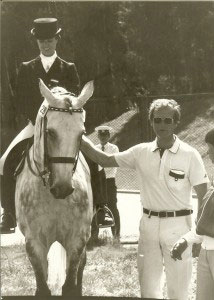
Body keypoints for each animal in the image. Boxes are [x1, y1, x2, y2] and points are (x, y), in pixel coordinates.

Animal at [15, 79, 94, 296]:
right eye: (50, 132)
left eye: (81, 134)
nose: (63, 188)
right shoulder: (34, 242)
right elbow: (42, 289)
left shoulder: (78, 238)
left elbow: (70, 287)